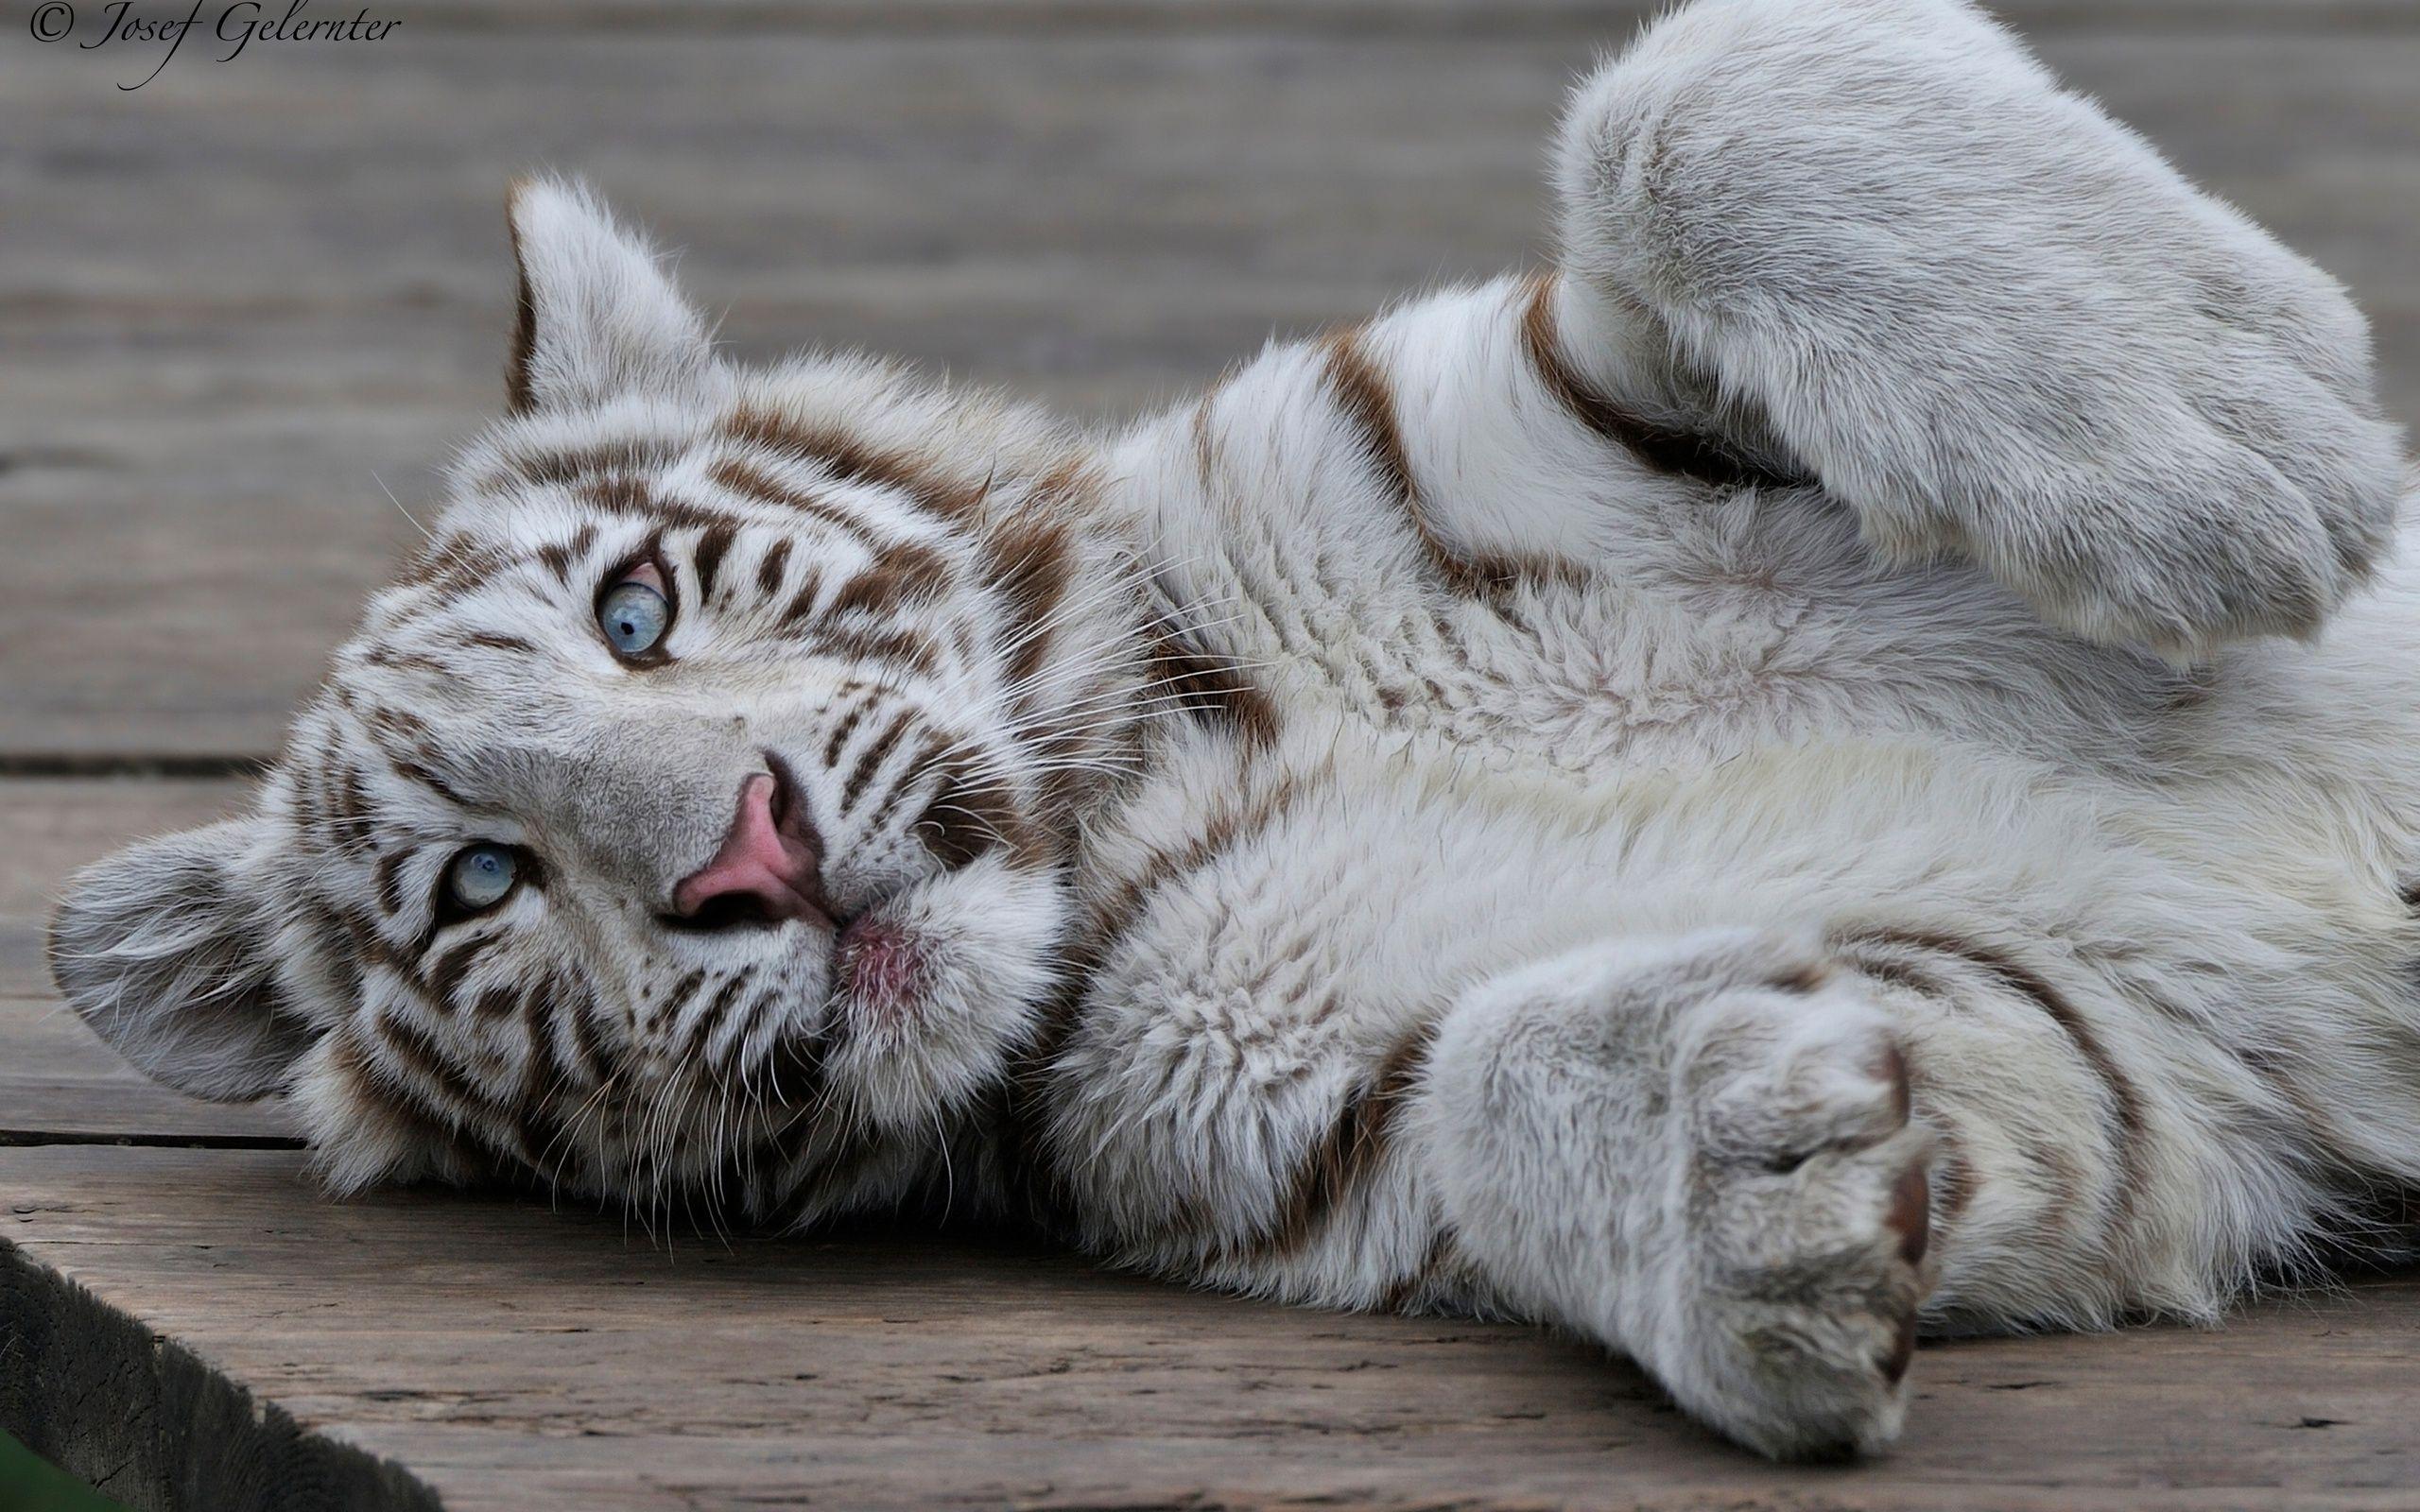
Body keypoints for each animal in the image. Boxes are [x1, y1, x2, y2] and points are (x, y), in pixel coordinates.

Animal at [50, 0, 2420, 1458]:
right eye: (482, 881)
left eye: (634, 612)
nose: (745, 849)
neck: (1142, 776)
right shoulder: (2113, 1054)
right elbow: (1509, 1068)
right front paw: (1753, 1192)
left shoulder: (1550, 375)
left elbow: (1686, 93)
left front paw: (2228, 448)